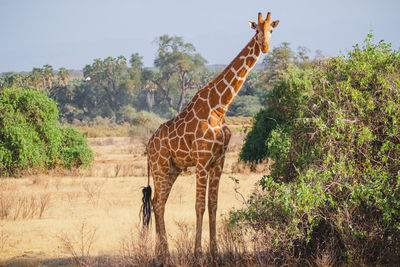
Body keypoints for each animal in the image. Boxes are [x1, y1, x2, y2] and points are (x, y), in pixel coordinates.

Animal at [143, 11, 278, 260]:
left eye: (271, 30)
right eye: (256, 30)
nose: (264, 46)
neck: (220, 107)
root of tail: (148, 146)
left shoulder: (219, 160)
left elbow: (214, 204)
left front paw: (216, 254)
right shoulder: (203, 160)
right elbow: (199, 206)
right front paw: (197, 254)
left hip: (173, 168)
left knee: (158, 201)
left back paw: (161, 253)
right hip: (160, 166)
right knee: (158, 203)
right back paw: (164, 253)